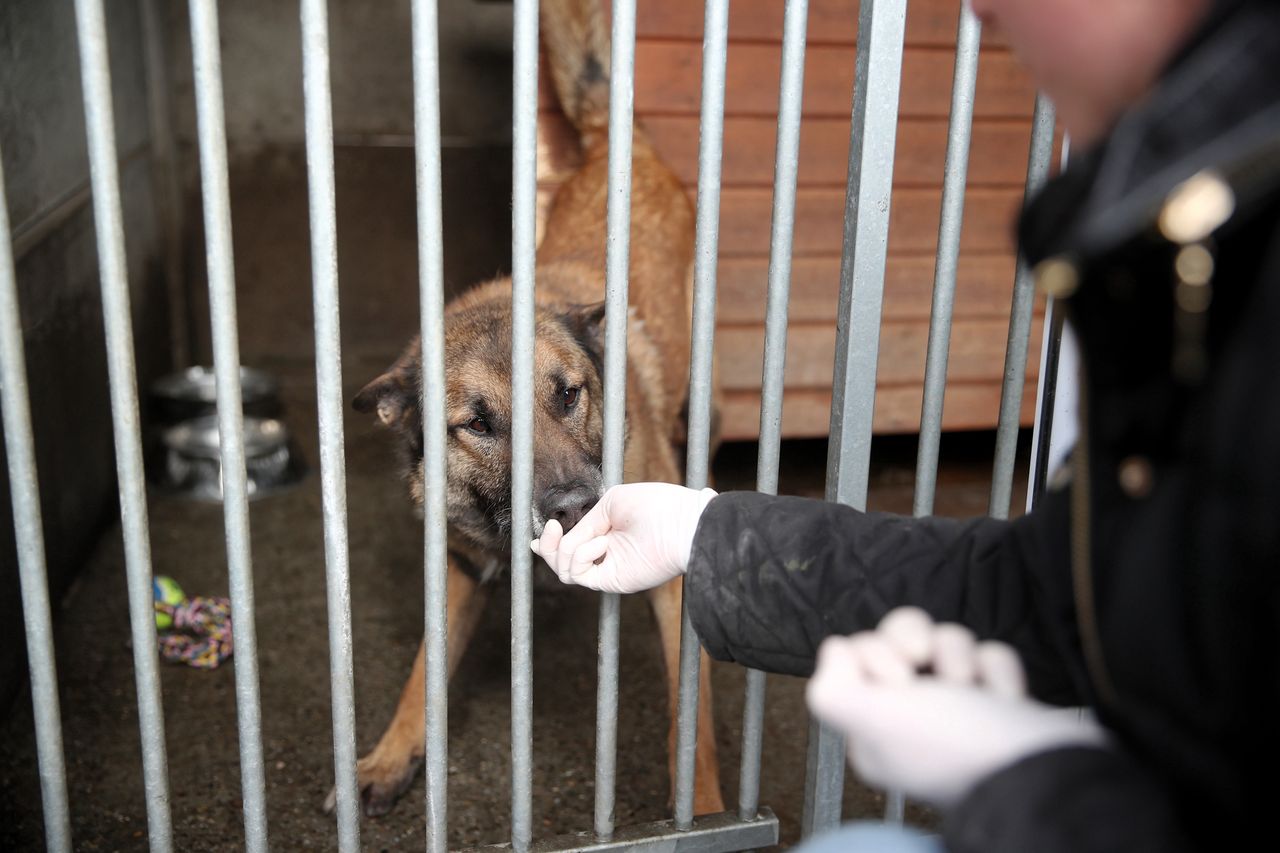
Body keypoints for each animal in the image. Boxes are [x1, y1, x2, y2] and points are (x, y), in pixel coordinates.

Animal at [330, 0, 727, 819]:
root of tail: (617, 142)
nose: (575, 508)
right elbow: (423, 670)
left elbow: (690, 721)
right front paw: (389, 755)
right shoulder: (458, 564)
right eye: (477, 424)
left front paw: (704, 811)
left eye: (568, 393)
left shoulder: (670, 588)